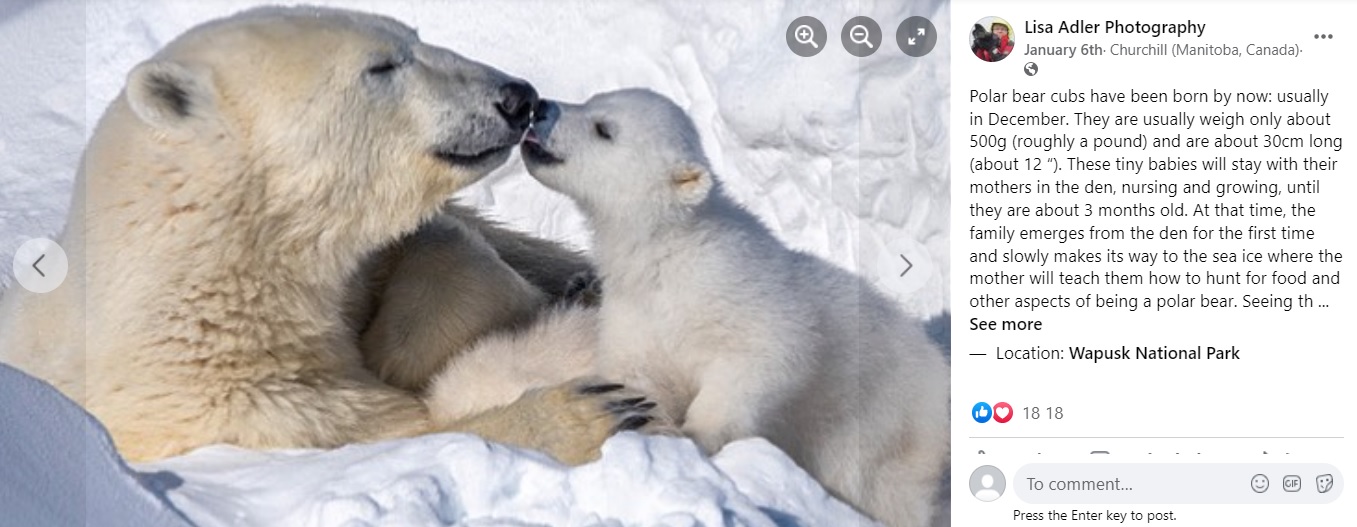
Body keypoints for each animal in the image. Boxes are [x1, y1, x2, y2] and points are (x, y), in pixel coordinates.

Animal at [0, 6, 651, 464]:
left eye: (413, 35)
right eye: (382, 66)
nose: (518, 96)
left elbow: (440, 245)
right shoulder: (253, 410)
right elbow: (403, 435)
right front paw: (586, 412)